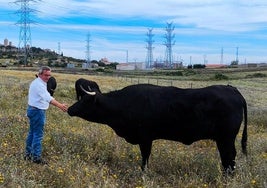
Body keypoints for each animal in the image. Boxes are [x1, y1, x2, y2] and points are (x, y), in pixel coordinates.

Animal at [68, 83, 248, 173]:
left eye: (85, 101)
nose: (69, 109)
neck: (125, 103)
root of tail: (231, 89)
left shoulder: (145, 138)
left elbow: (145, 157)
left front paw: (143, 173)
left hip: (226, 138)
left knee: (229, 156)